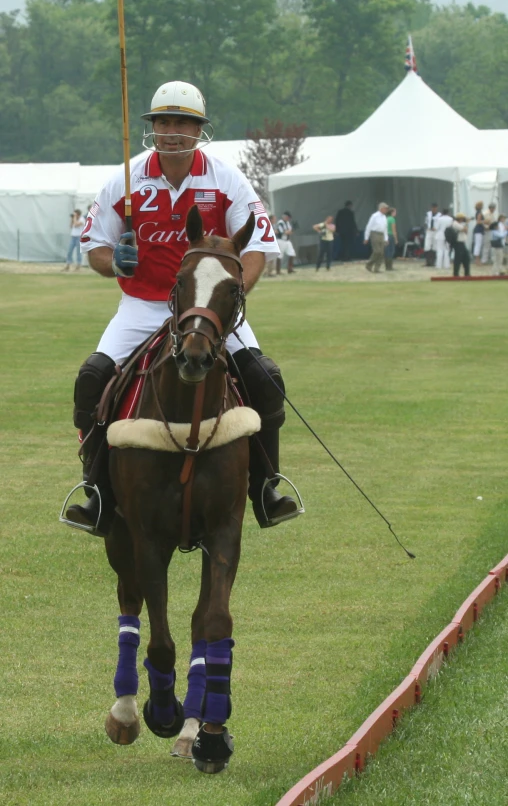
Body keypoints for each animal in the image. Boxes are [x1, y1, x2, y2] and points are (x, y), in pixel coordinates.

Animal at [101, 205, 258, 772]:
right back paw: (126, 712)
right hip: (116, 531)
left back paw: (192, 728)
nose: (194, 356)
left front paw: (210, 732)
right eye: (179, 280)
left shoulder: (225, 529)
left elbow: (212, 621)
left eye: (233, 287)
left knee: (194, 621)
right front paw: (160, 711)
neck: (188, 425)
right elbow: (160, 637)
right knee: (129, 600)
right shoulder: (148, 535)